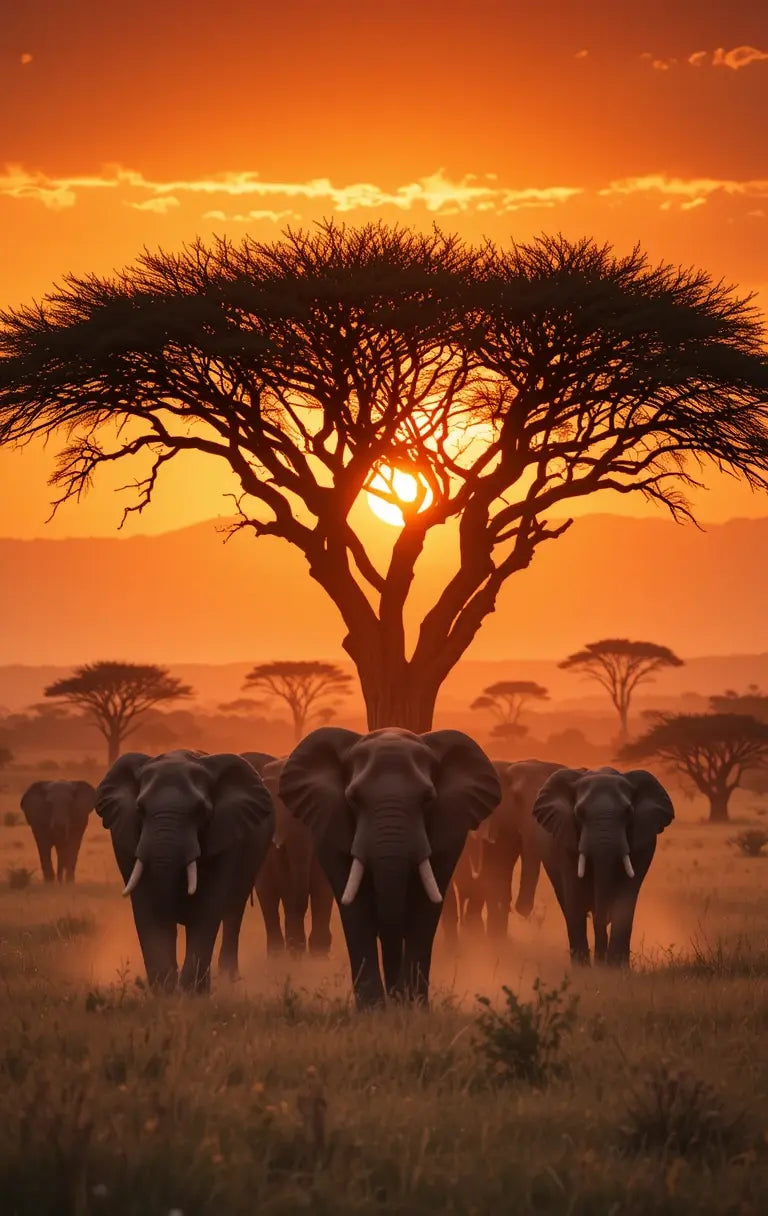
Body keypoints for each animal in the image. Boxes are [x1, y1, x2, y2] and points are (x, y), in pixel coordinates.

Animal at [95, 749, 274, 992]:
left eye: (201, 811)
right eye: (140, 809)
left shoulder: (225, 837)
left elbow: (207, 906)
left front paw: (191, 994)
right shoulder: (124, 839)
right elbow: (145, 905)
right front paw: (165, 992)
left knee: (233, 911)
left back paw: (229, 979)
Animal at [242, 752, 334, 957]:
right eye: (278, 804)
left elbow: (323, 887)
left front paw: (318, 955)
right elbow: (287, 886)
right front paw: (298, 951)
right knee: (269, 897)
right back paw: (279, 955)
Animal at [278, 726, 501, 1009]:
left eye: (428, 798)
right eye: (353, 799)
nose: (395, 997)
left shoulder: (448, 831)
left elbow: (425, 908)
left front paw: (413, 1008)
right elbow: (356, 909)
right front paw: (372, 1010)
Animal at [532, 765, 674, 967]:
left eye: (628, 812)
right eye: (579, 812)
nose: (600, 963)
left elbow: (626, 900)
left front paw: (615, 969)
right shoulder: (565, 841)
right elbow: (574, 898)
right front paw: (584, 970)